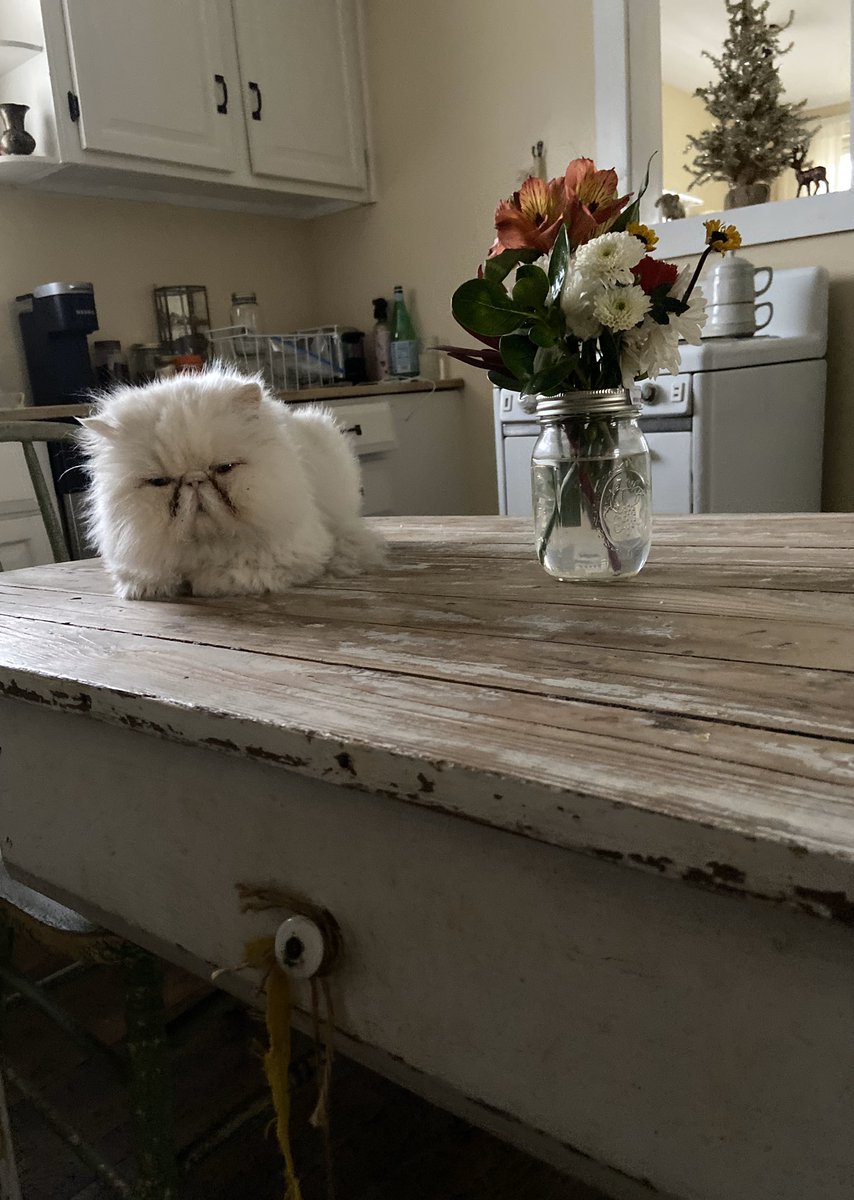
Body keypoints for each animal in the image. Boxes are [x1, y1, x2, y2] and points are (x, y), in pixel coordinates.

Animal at [79, 365, 385, 600]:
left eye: (224, 468)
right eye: (159, 482)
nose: (194, 481)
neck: (205, 546)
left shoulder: (288, 556)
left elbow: (225, 574)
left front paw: (201, 582)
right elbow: (146, 577)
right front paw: (150, 587)